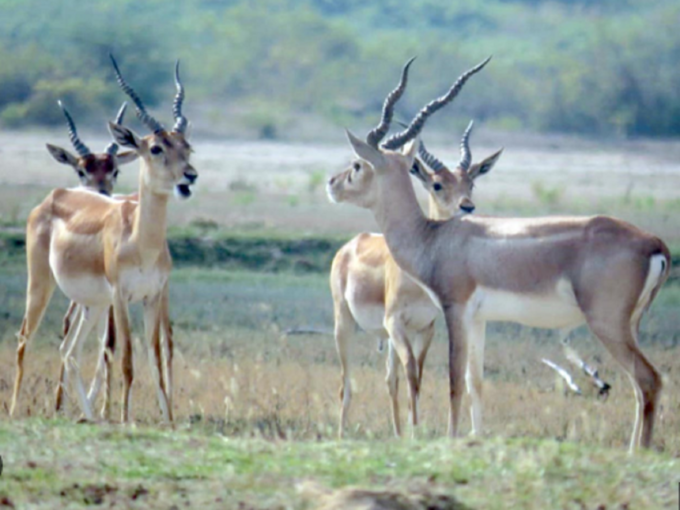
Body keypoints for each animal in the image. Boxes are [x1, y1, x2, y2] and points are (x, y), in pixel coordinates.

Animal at [10, 55, 197, 424]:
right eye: (156, 148)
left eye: (187, 147)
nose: (189, 176)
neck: (140, 242)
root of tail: (53, 196)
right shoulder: (121, 297)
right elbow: (126, 358)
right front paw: (125, 419)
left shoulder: (152, 296)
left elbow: (155, 357)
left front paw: (167, 419)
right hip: (42, 285)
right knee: (25, 337)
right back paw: (13, 411)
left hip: (92, 304)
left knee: (69, 349)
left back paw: (89, 415)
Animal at [332, 109, 502, 436]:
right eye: (437, 184)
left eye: (470, 183)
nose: (468, 207)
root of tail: (350, 245)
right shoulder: (397, 322)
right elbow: (412, 374)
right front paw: (416, 431)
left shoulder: (426, 327)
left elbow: (419, 376)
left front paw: (413, 432)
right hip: (344, 322)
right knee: (345, 384)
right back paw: (342, 435)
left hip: (389, 334)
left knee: (390, 379)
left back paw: (398, 433)